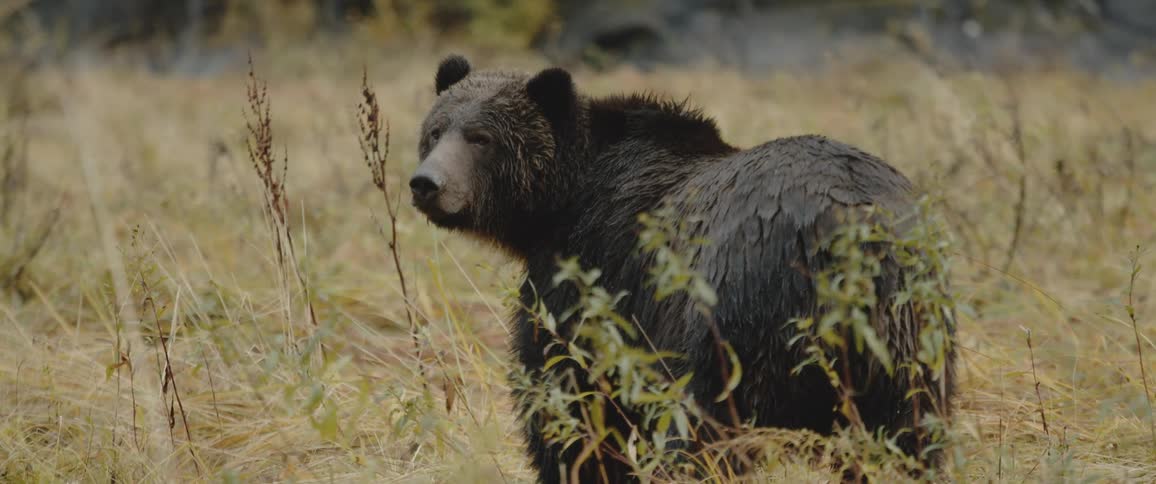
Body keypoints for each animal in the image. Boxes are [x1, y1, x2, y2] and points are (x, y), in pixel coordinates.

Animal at [409, 54, 957, 483]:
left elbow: (569, 394)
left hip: (737, 313)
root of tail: (848, 233)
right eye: (435, 131)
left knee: (703, 432)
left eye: (481, 137)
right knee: (906, 435)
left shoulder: (595, 272)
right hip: (907, 336)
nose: (426, 183)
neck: (560, 203)